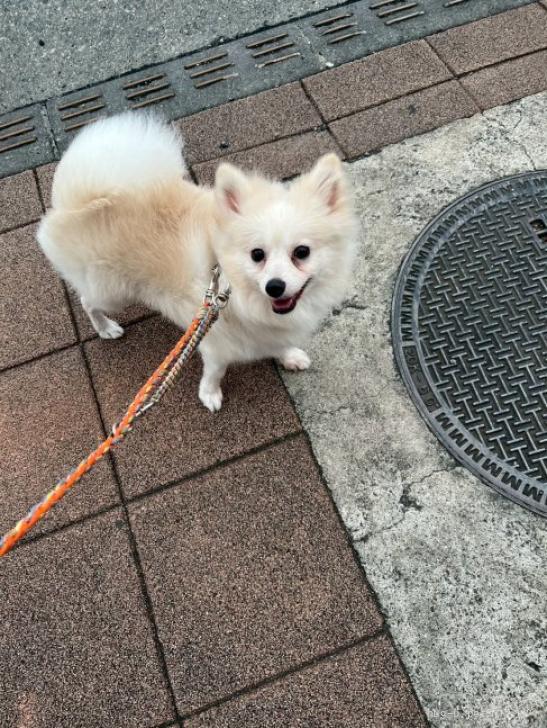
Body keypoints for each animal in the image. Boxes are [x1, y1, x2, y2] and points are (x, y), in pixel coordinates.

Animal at [37, 112, 358, 411]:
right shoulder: (215, 341)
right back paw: (106, 328)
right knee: (87, 301)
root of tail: (77, 203)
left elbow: (277, 343)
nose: (275, 287)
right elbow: (215, 372)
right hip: (113, 291)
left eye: (302, 252)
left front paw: (289, 356)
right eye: (257, 254)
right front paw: (210, 395)